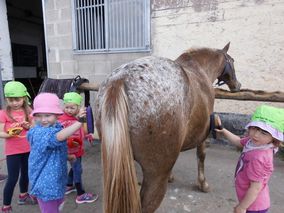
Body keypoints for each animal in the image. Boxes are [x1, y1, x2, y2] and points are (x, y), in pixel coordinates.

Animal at [94, 42, 241, 212]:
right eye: (232, 61)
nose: (237, 85)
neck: (200, 70)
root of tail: (120, 81)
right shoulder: (203, 133)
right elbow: (201, 155)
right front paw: (203, 183)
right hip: (155, 177)